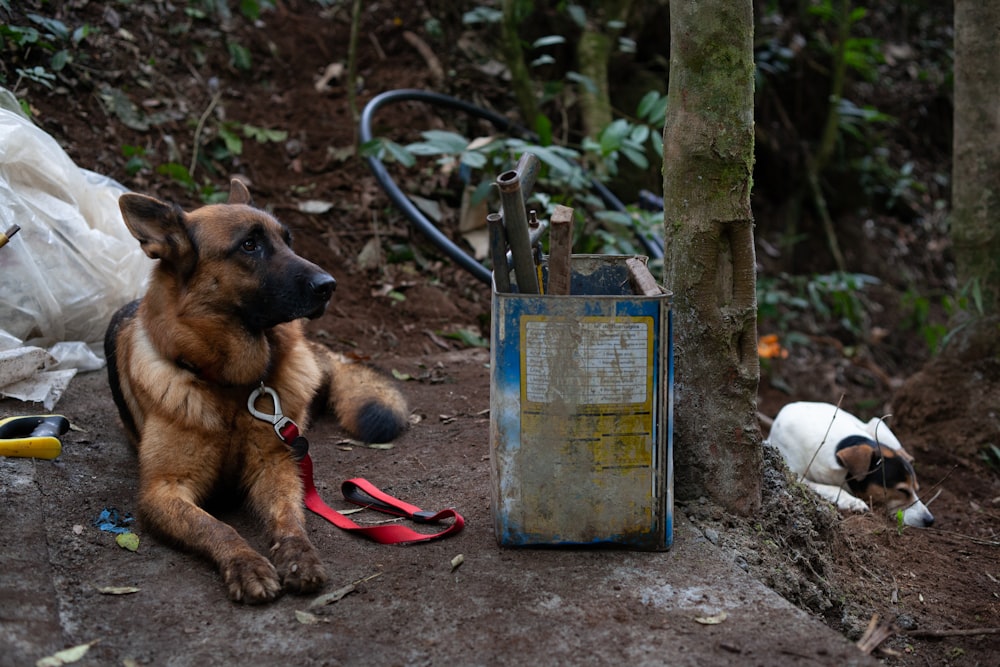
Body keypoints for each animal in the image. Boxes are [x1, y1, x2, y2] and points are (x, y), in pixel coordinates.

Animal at [104, 180, 406, 604]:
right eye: (249, 245)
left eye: (288, 240)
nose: (329, 286)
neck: (232, 385)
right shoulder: (162, 491)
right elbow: (215, 527)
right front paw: (245, 563)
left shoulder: (276, 465)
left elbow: (289, 518)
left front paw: (298, 556)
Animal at [764, 402, 936, 528]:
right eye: (901, 490)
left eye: (916, 488)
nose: (930, 520)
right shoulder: (797, 476)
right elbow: (831, 488)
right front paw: (852, 501)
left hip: (877, 425)